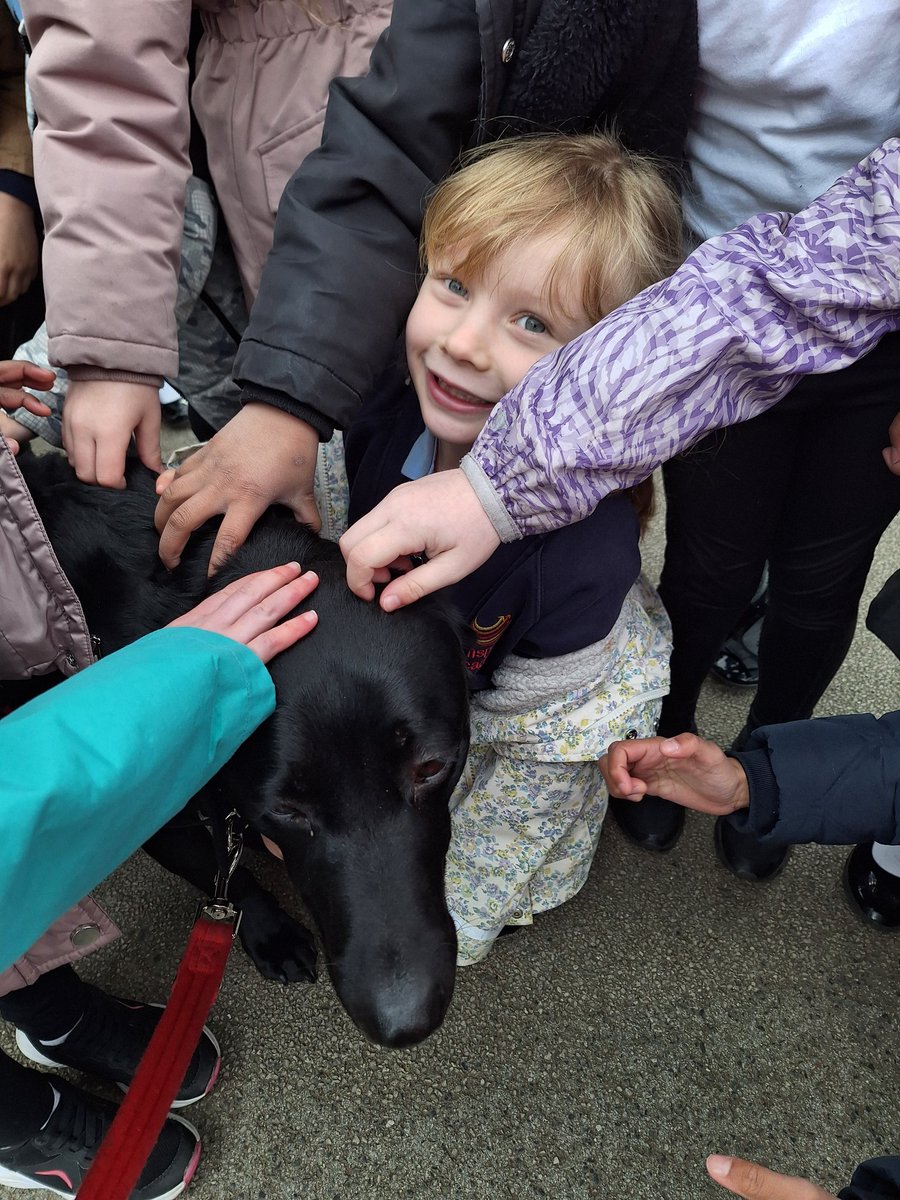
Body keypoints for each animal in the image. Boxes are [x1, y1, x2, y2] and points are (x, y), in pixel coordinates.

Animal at [19, 453, 472, 1046]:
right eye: (285, 810)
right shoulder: (158, 821)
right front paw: (270, 933)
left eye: (432, 768)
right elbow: (226, 878)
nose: (404, 1021)